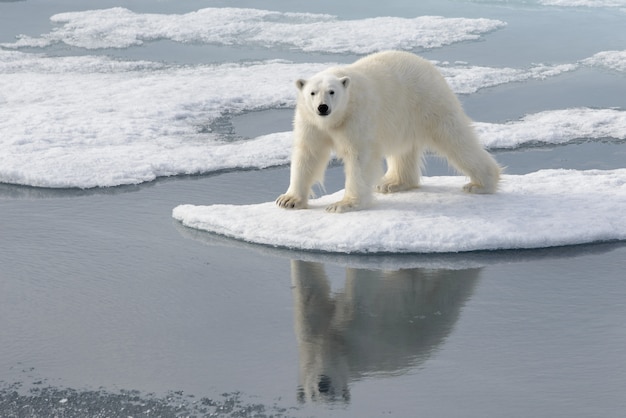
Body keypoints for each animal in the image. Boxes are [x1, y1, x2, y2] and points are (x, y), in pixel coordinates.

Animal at [276, 49, 500, 212]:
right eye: (312, 93)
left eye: (332, 92)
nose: (322, 108)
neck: (335, 119)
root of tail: (428, 65)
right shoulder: (310, 121)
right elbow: (308, 154)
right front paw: (288, 200)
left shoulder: (358, 116)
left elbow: (359, 158)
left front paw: (343, 204)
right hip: (403, 119)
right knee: (404, 150)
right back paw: (393, 183)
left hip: (428, 101)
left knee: (455, 138)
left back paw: (481, 184)